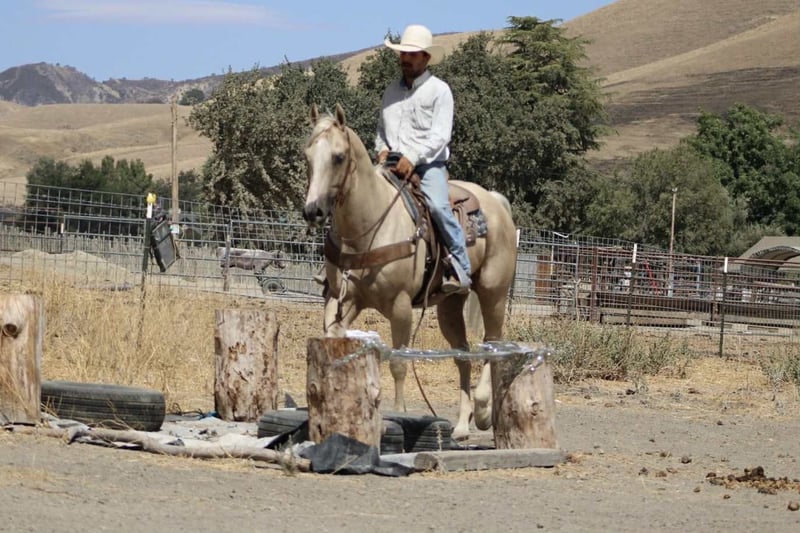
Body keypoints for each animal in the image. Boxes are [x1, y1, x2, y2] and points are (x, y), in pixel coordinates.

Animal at [302, 104, 517, 440]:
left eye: (338, 157)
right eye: (307, 155)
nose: (313, 211)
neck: (368, 225)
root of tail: (494, 202)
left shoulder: (400, 306)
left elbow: (398, 363)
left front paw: (398, 413)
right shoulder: (341, 301)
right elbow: (334, 344)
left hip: (493, 293)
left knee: (492, 342)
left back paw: (483, 411)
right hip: (449, 306)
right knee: (462, 354)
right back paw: (461, 426)